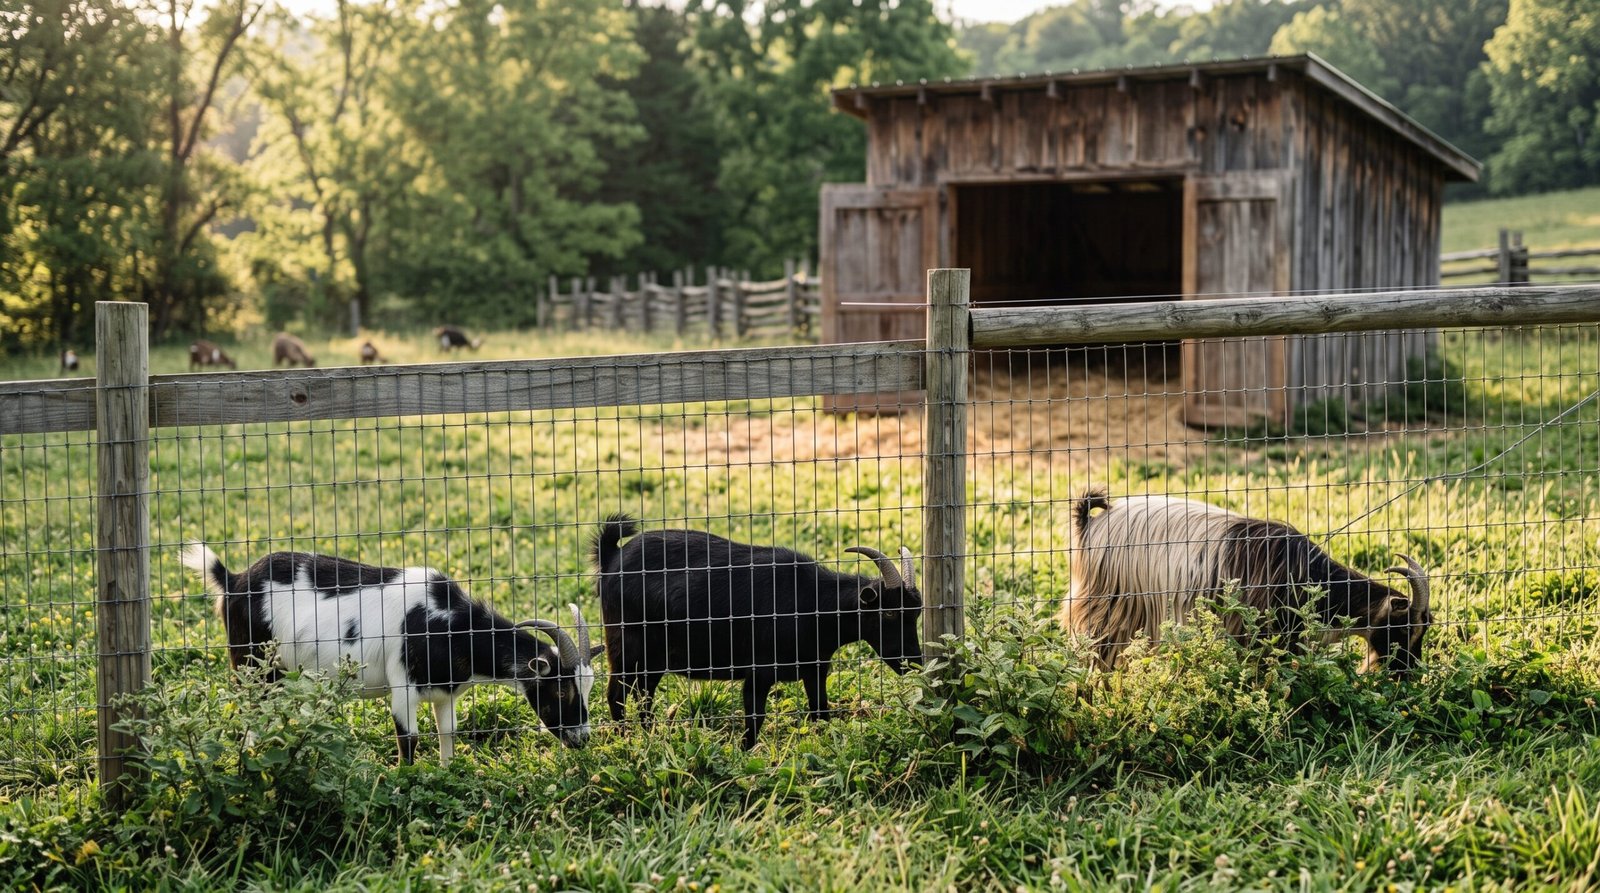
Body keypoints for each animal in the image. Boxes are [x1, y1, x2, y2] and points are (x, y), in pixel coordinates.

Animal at [182, 543, 602, 763]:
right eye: (560, 690)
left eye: (588, 689)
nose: (581, 738)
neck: (447, 621)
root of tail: (234, 581)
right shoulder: (403, 684)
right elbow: (409, 739)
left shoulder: (445, 691)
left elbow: (447, 733)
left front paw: (449, 772)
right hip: (251, 663)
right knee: (250, 711)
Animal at [591, 514, 923, 749]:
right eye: (889, 613)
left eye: (916, 612)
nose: (913, 663)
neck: (812, 602)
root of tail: (612, 559)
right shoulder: (759, 672)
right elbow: (755, 717)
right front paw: (743, 753)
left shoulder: (814, 670)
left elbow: (820, 712)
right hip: (626, 646)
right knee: (617, 694)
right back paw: (625, 740)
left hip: (654, 659)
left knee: (644, 695)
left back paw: (652, 737)